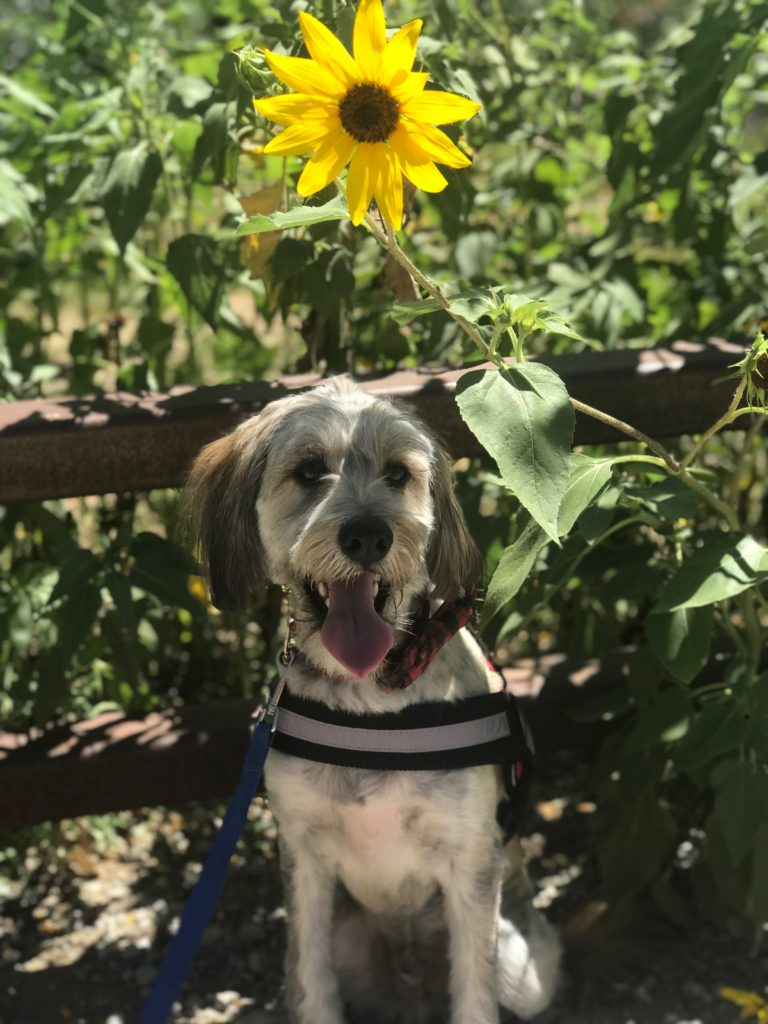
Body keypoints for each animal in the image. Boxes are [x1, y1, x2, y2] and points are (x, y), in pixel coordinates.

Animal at [183, 380, 561, 1019]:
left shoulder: (470, 863)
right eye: (309, 470)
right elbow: (310, 981)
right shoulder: (303, 858)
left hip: (525, 969)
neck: (369, 700)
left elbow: (475, 992)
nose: (367, 536)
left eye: (397, 473)